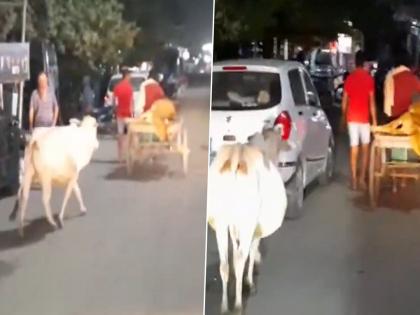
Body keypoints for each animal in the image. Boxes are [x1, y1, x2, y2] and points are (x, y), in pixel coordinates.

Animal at [206, 129, 288, 314]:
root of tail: (237, 155)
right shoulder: (255, 228)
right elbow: (252, 250)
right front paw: (249, 281)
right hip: (246, 222)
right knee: (240, 259)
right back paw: (237, 305)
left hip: (221, 222)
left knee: (225, 264)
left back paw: (224, 306)